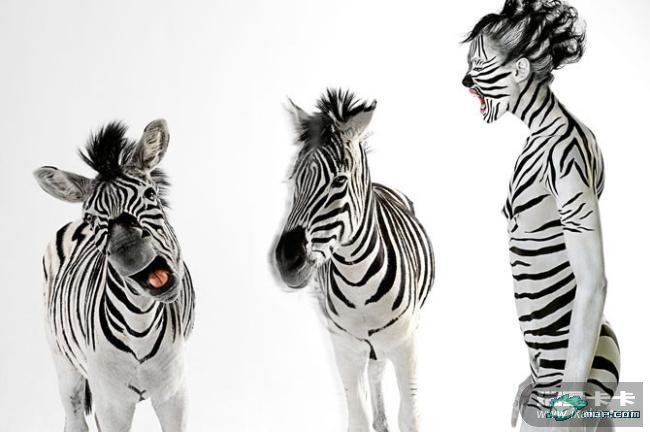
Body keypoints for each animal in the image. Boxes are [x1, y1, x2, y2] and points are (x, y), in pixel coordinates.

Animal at [34, 120, 195, 432]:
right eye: (92, 219)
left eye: (150, 195)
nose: (130, 253)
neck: (140, 326)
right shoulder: (112, 404)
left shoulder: (174, 394)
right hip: (63, 363)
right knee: (74, 418)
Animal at [274, 89, 434, 432]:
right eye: (293, 179)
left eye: (339, 180)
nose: (288, 260)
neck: (358, 282)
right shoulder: (344, 349)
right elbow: (357, 419)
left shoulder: (405, 346)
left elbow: (410, 417)